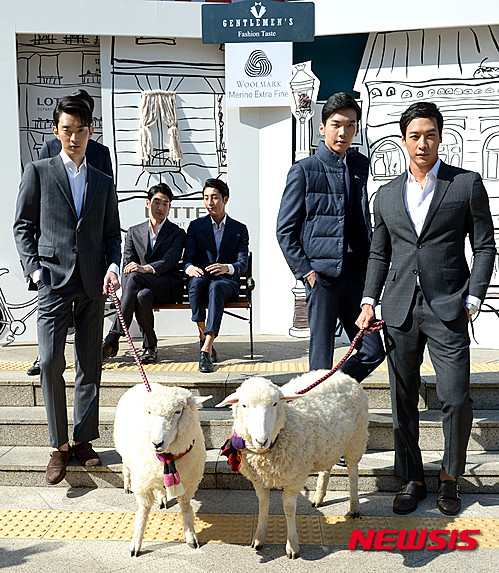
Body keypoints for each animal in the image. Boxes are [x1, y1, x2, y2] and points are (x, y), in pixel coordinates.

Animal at [114, 382, 211, 556]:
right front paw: (136, 543)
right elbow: (143, 511)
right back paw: (127, 484)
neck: (168, 457)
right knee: (126, 466)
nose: (157, 443)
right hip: (125, 452)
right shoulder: (143, 484)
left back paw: (161, 497)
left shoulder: (188, 483)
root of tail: (141, 383)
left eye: (178, 411)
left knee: (160, 486)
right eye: (149, 412)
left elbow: (185, 507)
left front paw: (191, 536)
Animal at [217, 370, 369, 559]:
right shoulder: (259, 479)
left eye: (275, 403)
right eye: (244, 405)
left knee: (353, 471)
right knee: (326, 468)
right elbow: (263, 505)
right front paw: (259, 537)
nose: (261, 441)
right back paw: (319, 497)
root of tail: (342, 374)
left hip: (356, 439)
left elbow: (289, 509)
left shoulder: (295, 479)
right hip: (329, 444)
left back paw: (354, 507)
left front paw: (292, 545)